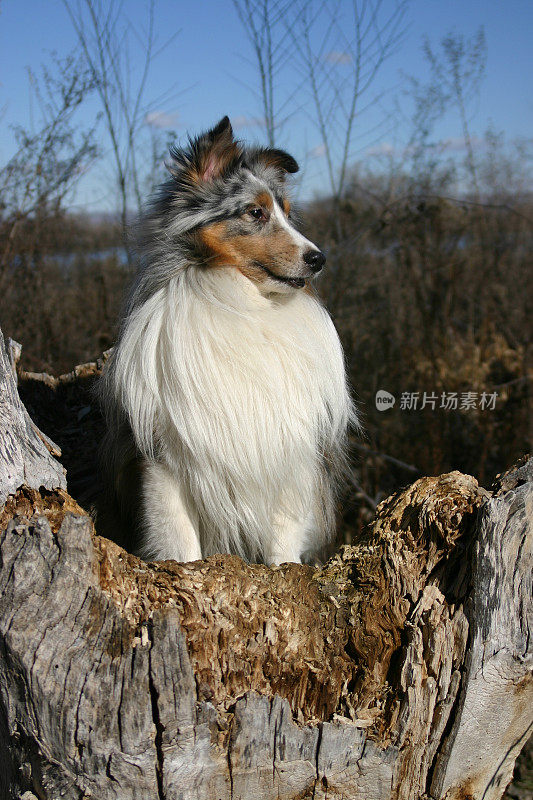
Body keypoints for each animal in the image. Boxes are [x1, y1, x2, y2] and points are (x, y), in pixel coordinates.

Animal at [100, 117, 358, 564]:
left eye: (288, 213)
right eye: (256, 212)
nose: (318, 259)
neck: (242, 301)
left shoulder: (288, 453)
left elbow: (284, 536)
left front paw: (284, 569)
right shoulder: (163, 459)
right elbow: (179, 539)